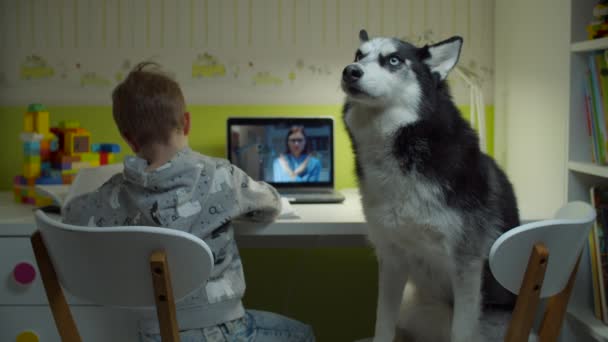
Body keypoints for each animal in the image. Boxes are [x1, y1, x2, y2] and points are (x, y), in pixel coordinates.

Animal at [342, 30, 516, 342]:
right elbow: (382, 324)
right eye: (359, 55)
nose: (350, 71)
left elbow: (461, 332)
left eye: (394, 60)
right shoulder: (392, 259)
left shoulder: (467, 265)